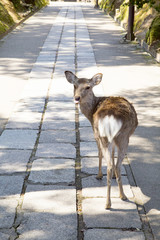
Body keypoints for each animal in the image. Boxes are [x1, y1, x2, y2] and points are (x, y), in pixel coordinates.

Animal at [64, 71, 138, 208]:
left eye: (88, 87)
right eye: (74, 85)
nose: (77, 98)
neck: (91, 112)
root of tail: (111, 117)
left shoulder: (95, 133)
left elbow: (98, 154)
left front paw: (98, 175)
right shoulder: (111, 140)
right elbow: (113, 154)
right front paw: (113, 177)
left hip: (111, 136)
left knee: (110, 164)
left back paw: (109, 202)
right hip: (120, 137)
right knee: (116, 165)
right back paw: (121, 196)